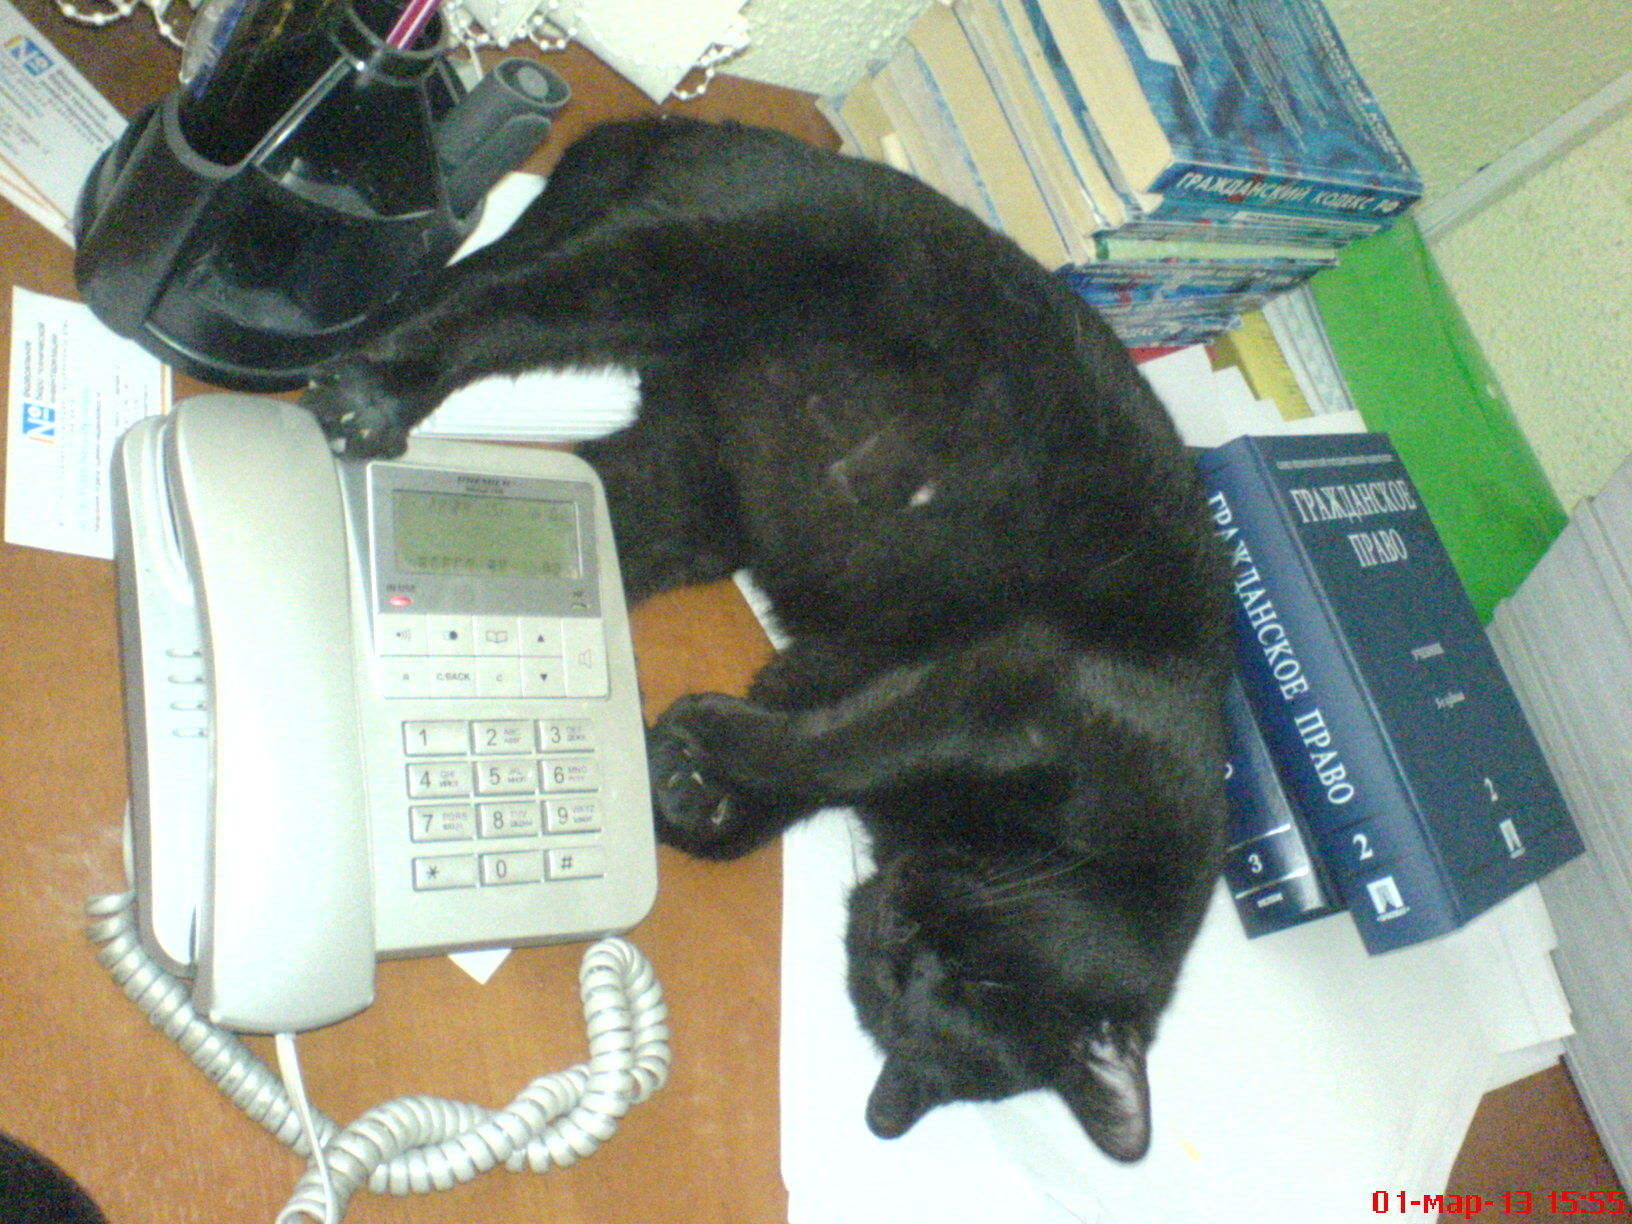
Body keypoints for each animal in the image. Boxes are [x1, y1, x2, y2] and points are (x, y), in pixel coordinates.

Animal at [304, 116, 1233, 1164]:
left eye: (907, 988)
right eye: (957, 973)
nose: (901, 930)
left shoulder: (832, 674)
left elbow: (779, 780)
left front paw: (684, 783)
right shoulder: (1022, 691)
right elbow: (838, 751)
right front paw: (705, 739)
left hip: (686, 486)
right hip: (697, 263)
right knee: (489, 303)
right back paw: (374, 394)